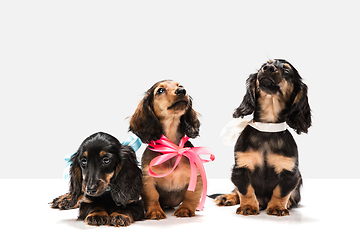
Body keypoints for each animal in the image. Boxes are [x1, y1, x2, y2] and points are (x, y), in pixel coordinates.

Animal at [128, 79, 201, 218]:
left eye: (180, 86)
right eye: (160, 90)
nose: (182, 91)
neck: (171, 147)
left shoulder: (195, 175)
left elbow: (191, 196)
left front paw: (186, 209)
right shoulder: (148, 178)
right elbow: (152, 196)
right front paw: (154, 211)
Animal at [215, 59, 310, 216]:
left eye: (287, 71)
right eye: (264, 65)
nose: (267, 68)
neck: (267, 127)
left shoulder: (290, 173)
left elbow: (281, 192)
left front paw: (278, 207)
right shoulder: (241, 168)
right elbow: (245, 190)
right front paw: (248, 206)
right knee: (235, 191)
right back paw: (227, 197)